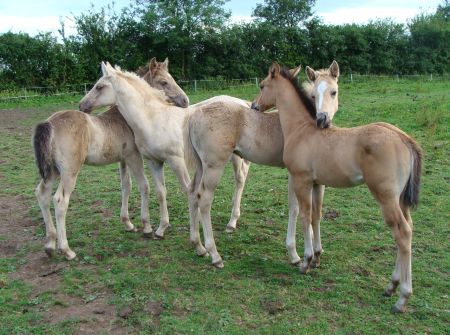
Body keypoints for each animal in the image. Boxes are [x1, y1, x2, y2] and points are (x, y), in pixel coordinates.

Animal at [33, 57, 188, 262]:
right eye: (164, 82)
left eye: (171, 79)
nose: (185, 101)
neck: (124, 118)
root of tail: (49, 123)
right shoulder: (134, 156)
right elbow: (144, 186)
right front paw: (146, 227)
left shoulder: (122, 160)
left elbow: (126, 186)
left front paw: (128, 224)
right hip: (69, 172)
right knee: (60, 201)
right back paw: (67, 250)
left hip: (52, 171)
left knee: (42, 194)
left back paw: (50, 245)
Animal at [253, 63, 422, 316]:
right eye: (315, 95)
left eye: (263, 85)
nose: (254, 105)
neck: (301, 129)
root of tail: (404, 138)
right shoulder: (317, 183)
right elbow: (316, 217)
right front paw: (317, 258)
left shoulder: (302, 180)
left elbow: (304, 216)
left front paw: (305, 261)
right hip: (401, 199)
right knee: (407, 230)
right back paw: (391, 285)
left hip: (386, 197)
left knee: (402, 233)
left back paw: (402, 297)